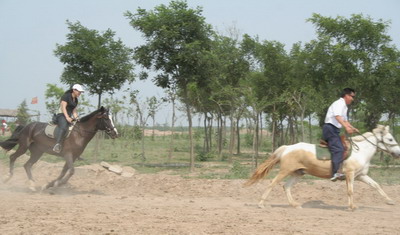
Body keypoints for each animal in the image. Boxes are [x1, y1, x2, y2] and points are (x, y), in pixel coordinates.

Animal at [245, 124, 400, 210]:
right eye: (390, 139)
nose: (398, 153)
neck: (360, 151)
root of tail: (287, 147)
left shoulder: (361, 176)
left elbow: (376, 185)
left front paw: (390, 201)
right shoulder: (350, 174)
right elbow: (350, 191)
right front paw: (351, 207)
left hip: (298, 173)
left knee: (286, 187)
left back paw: (295, 205)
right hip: (285, 171)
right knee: (272, 183)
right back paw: (261, 204)